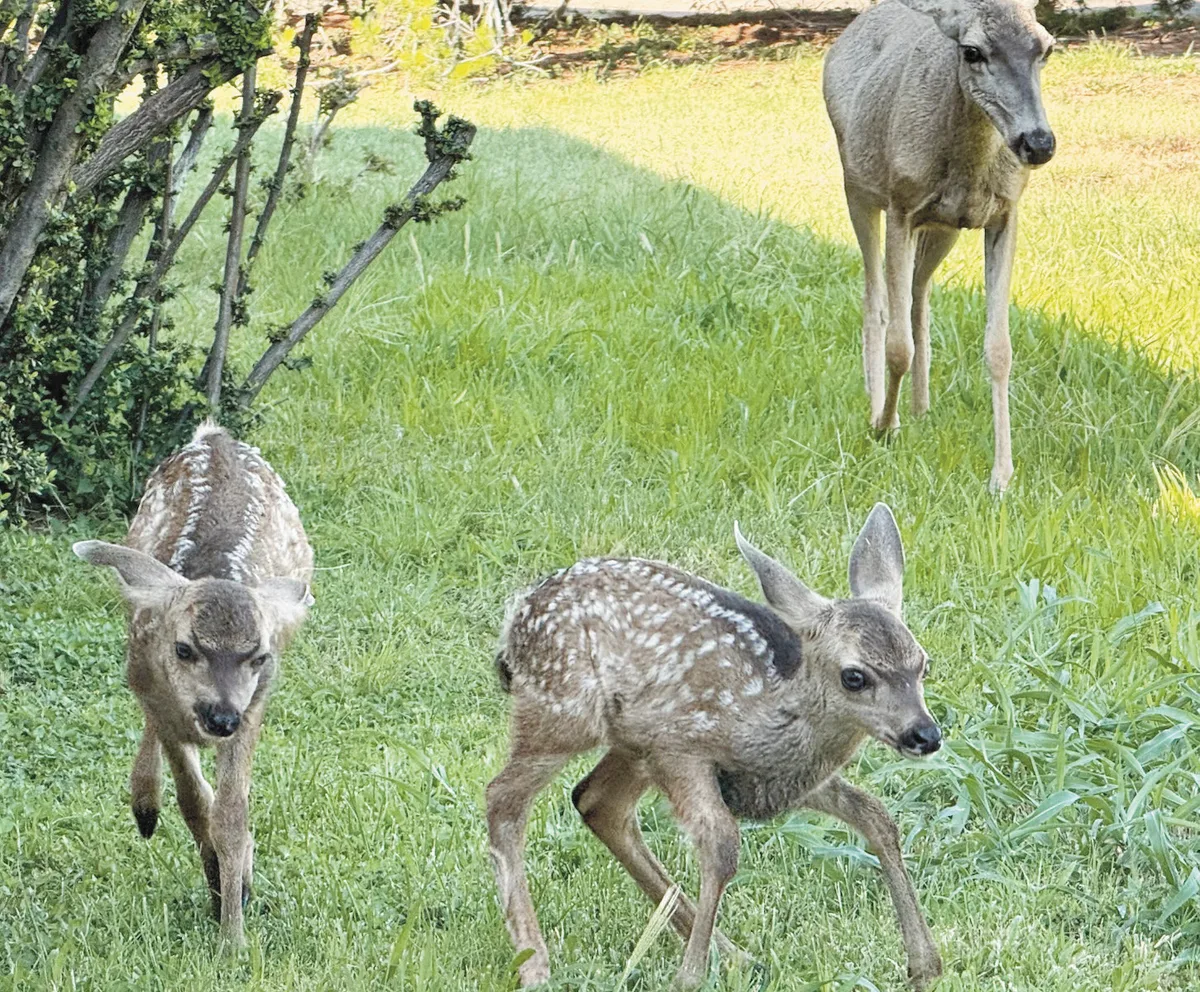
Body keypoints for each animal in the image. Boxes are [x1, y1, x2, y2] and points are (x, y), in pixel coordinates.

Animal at [73, 421, 314, 947]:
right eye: (184, 649)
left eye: (259, 656)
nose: (220, 716)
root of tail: (215, 435)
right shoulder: (158, 696)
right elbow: (195, 804)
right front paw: (223, 892)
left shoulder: (255, 705)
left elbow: (230, 815)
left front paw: (233, 923)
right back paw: (145, 806)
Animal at [486, 503, 943, 990]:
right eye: (854, 676)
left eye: (923, 664)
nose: (925, 735)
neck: (766, 715)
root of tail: (516, 618)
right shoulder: (680, 749)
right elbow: (722, 846)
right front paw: (689, 977)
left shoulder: (780, 777)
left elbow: (876, 816)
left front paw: (925, 964)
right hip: (562, 711)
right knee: (504, 798)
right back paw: (534, 963)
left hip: (629, 741)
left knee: (594, 801)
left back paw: (735, 954)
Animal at [823, 0, 1057, 492]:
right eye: (972, 51)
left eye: (1046, 47)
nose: (1038, 143)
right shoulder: (901, 205)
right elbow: (897, 345)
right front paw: (883, 427)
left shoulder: (1004, 213)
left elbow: (1000, 348)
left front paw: (1002, 475)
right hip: (857, 188)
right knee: (875, 301)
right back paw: (880, 406)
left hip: (942, 229)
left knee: (917, 295)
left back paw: (921, 407)